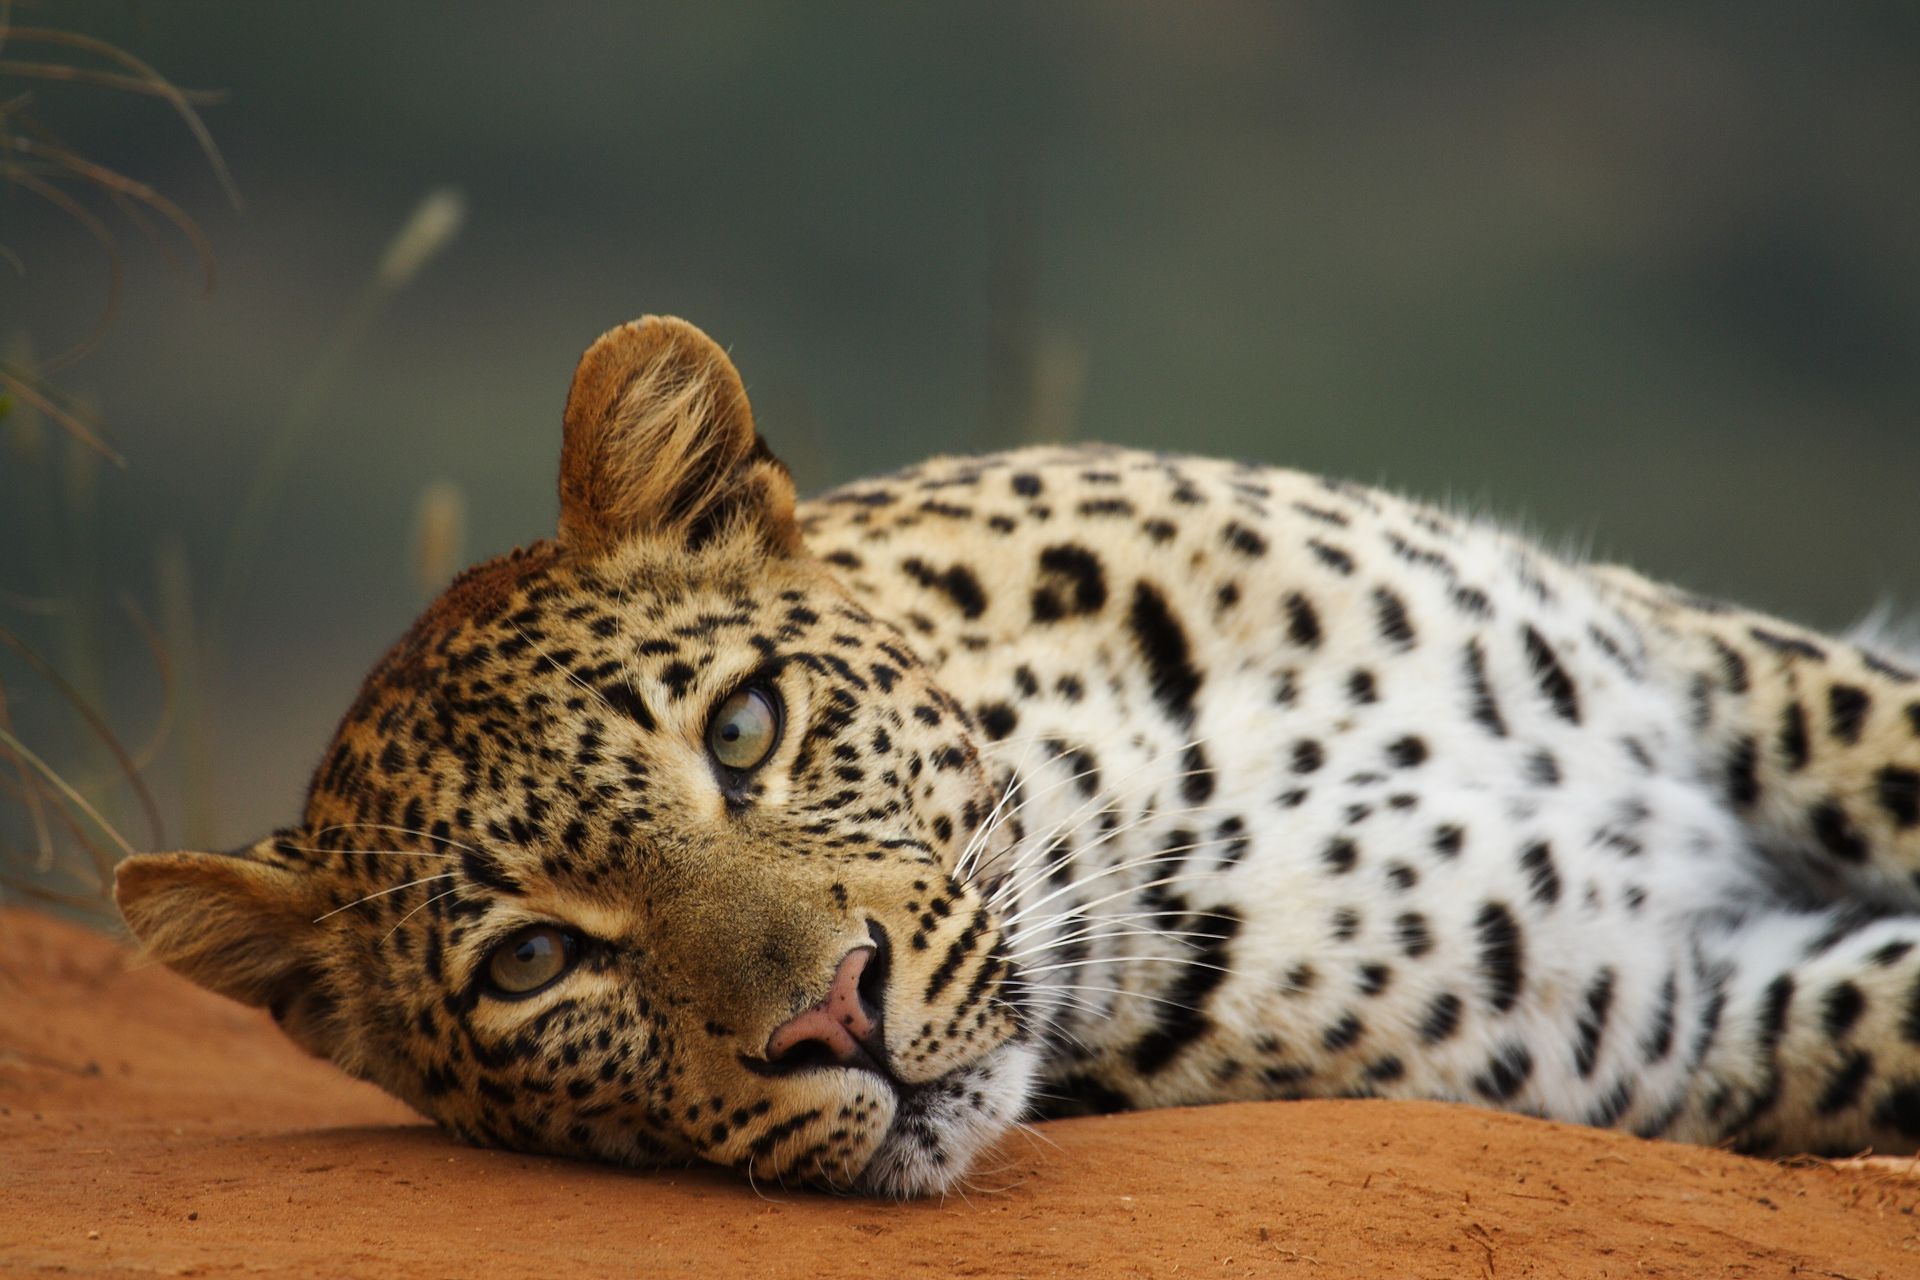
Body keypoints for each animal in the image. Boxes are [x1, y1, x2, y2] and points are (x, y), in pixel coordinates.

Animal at [116, 315, 1920, 1197]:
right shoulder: (1679, 1018)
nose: (831, 1014)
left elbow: (1884, 741)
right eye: (531, 966)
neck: (1131, 795)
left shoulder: (1700, 672)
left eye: (745, 728)